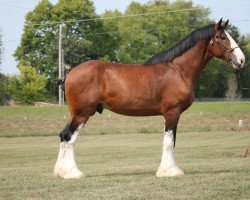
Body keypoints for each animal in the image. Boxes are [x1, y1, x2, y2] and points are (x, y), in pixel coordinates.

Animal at [53, 18, 245, 179]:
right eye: (222, 37)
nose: (242, 60)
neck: (178, 70)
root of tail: (69, 74)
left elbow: (172, 141)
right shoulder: (172, 113)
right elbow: (169, 142)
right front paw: (169, 171)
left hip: (76, 114)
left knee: (63, 136)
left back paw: (61, 172)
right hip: (83, 114)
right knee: (69, 137)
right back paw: (73, 173)